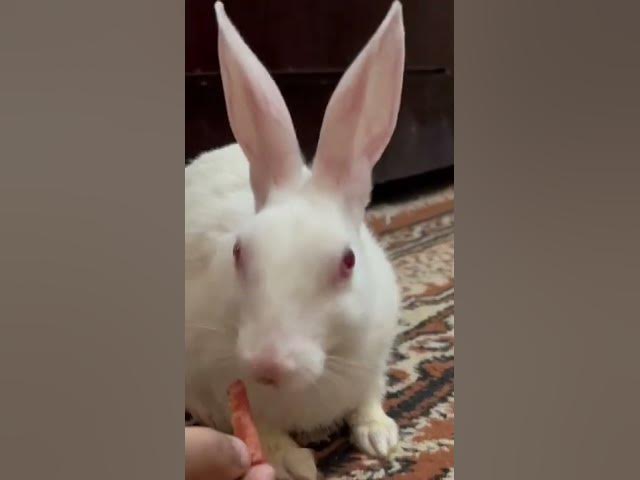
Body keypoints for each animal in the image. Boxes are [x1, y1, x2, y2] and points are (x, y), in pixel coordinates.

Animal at [186, 2, 405, 478]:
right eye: (238, 252)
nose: (269, 365)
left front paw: (380, 438)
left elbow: (369, 395)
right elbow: (264, 432)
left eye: (348, 261)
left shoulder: (375, 355)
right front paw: (298, 465)